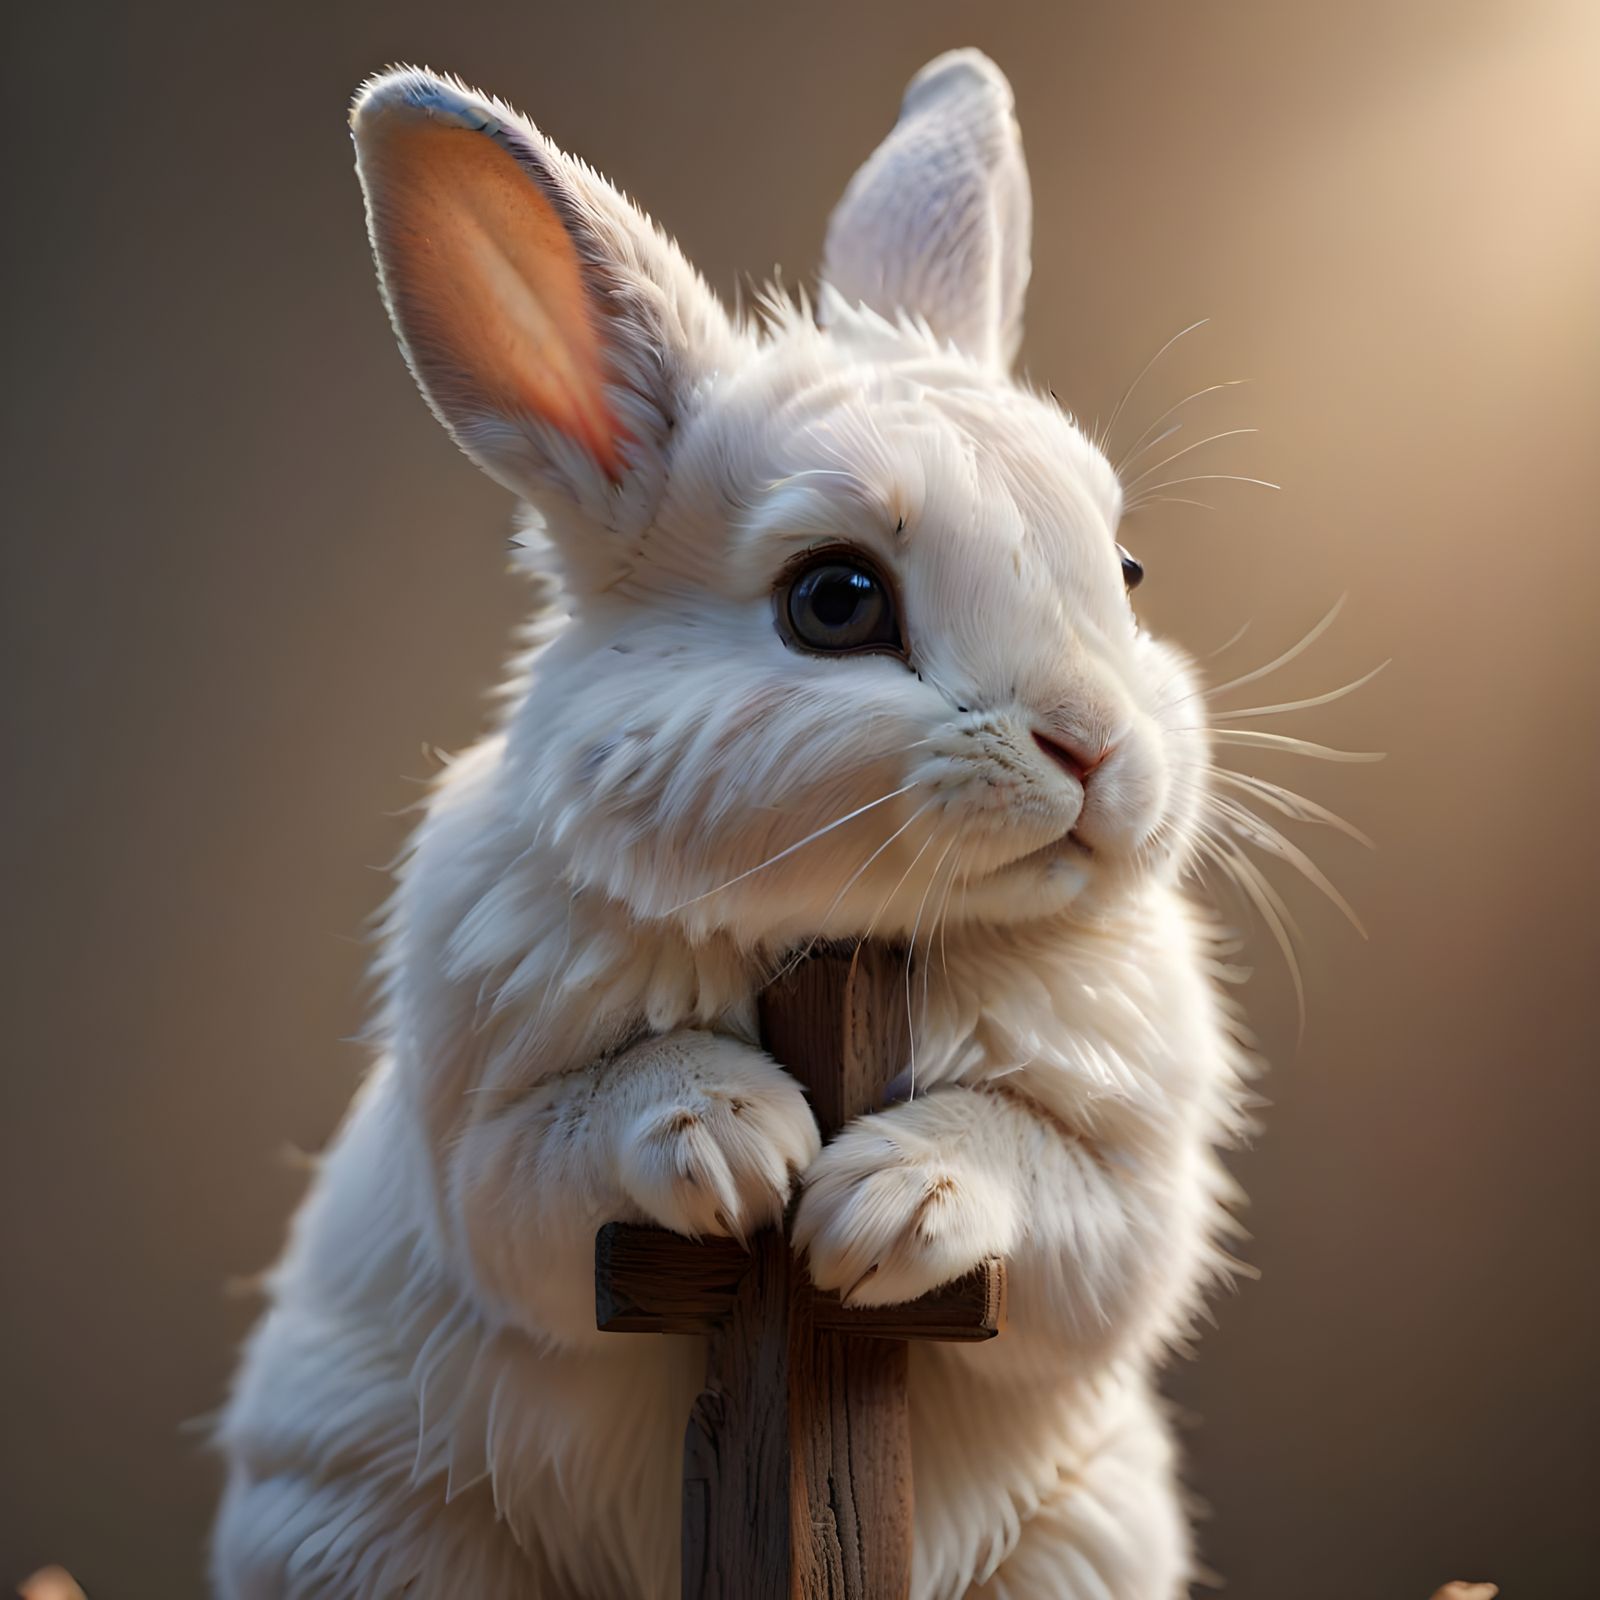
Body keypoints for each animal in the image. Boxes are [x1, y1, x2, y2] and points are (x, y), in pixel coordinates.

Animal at [212, 48, 1260, 1600]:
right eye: (835, 601)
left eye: (1123, 568)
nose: (1095, 748)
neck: (860, 935)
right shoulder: (487, 1139)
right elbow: (562, 1155)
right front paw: (733, 1139)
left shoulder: (1133, 1189)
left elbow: (1052, 1190)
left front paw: (886, 1205)